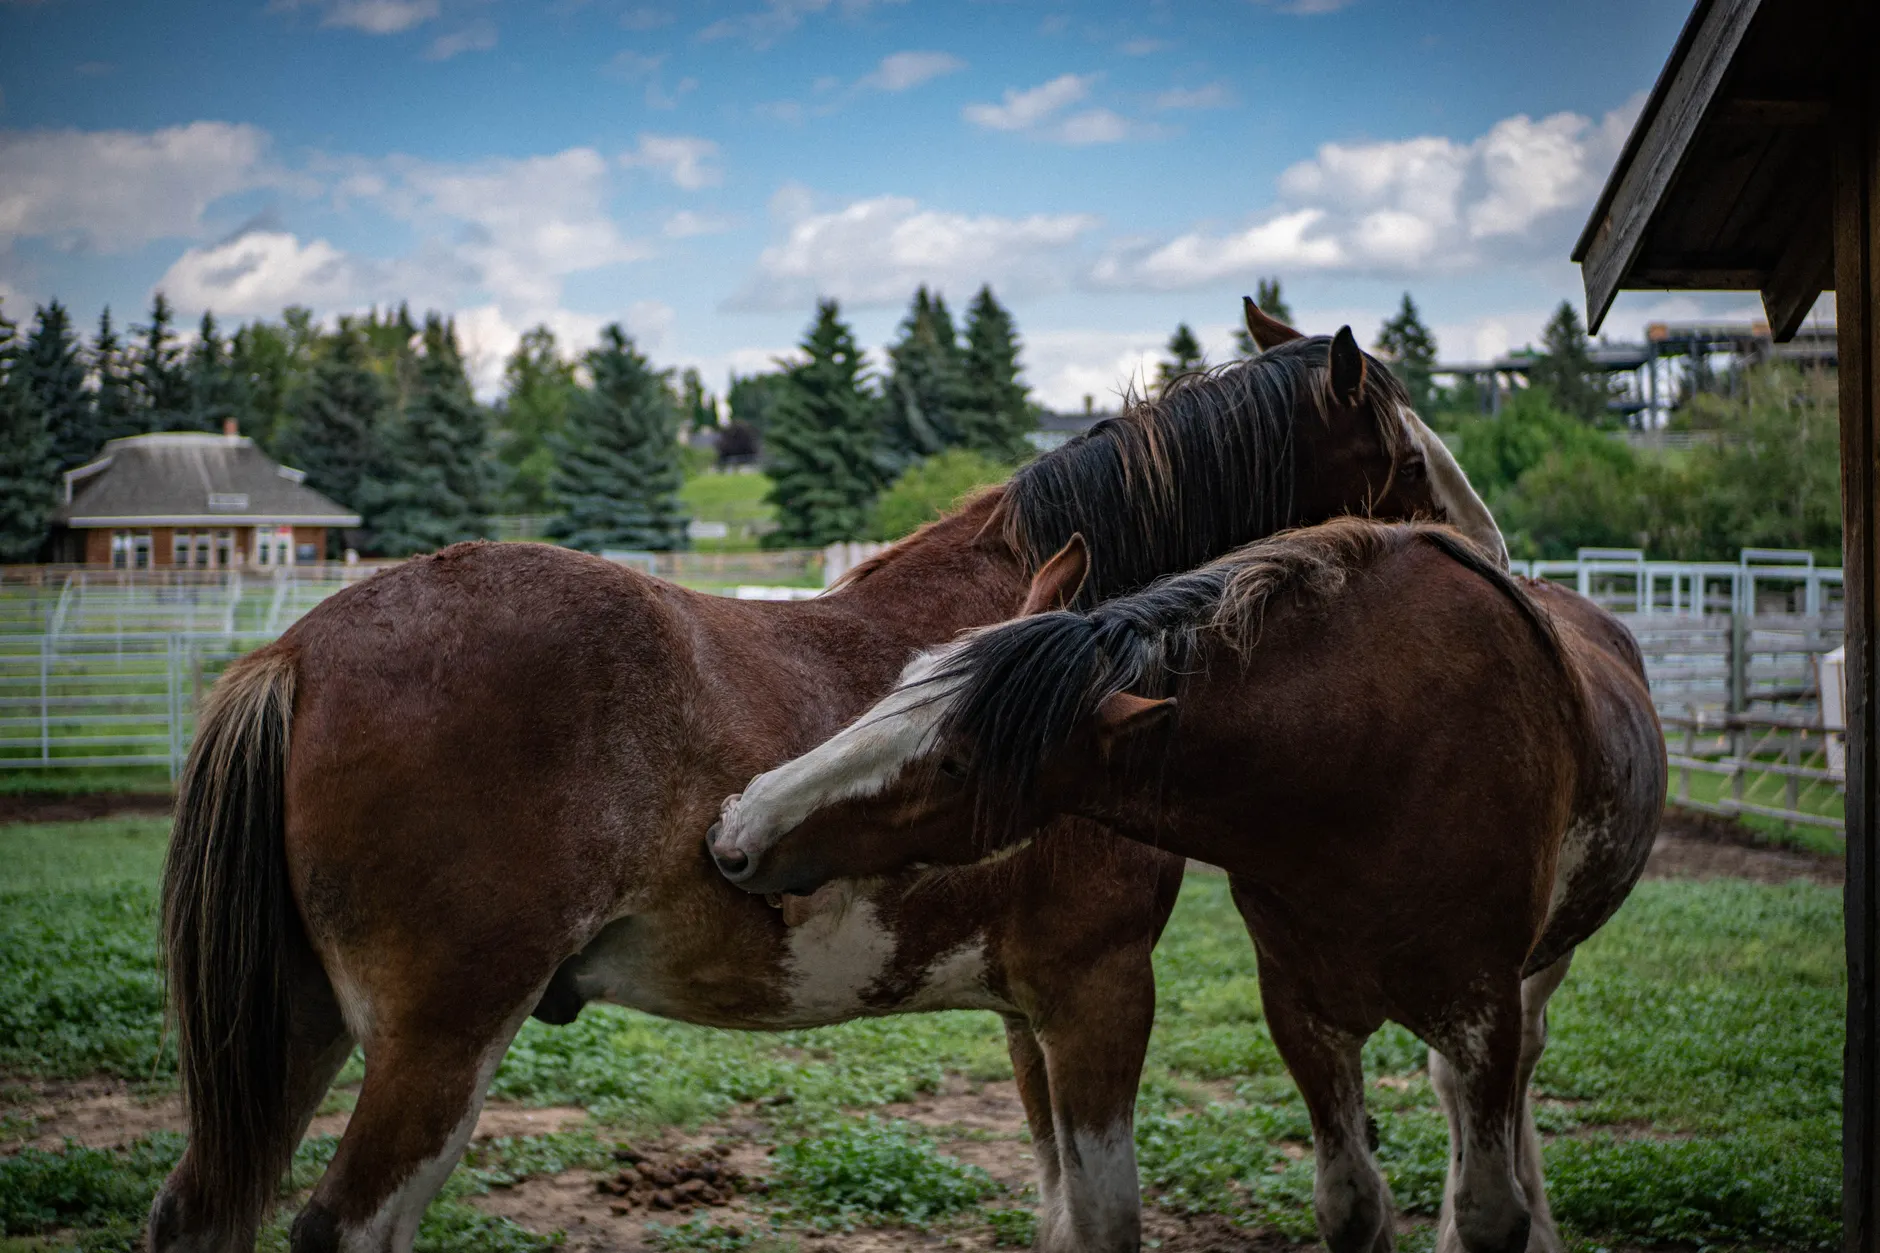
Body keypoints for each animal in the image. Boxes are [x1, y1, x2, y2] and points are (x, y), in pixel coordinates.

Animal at [151, 307, 1502, 1253]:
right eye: (1401, 450)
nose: (1485, 555)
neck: (1061, 641)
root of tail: (294, 651)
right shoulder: (1097, 988)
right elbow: (1109, 1219)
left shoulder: (1027, 1011)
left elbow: (1063, 1213)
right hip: (439, 1036)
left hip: (298, 1021)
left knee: (198, 1207)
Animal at [710, 519, 1667, 1253]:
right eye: (903, 681)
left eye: (955, 760)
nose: (737, 830)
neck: (1372, 764)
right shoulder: (1302, 1013)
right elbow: (1353, 1204)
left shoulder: (1482, 1012)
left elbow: (1489, 1212)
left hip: (1537, 977)